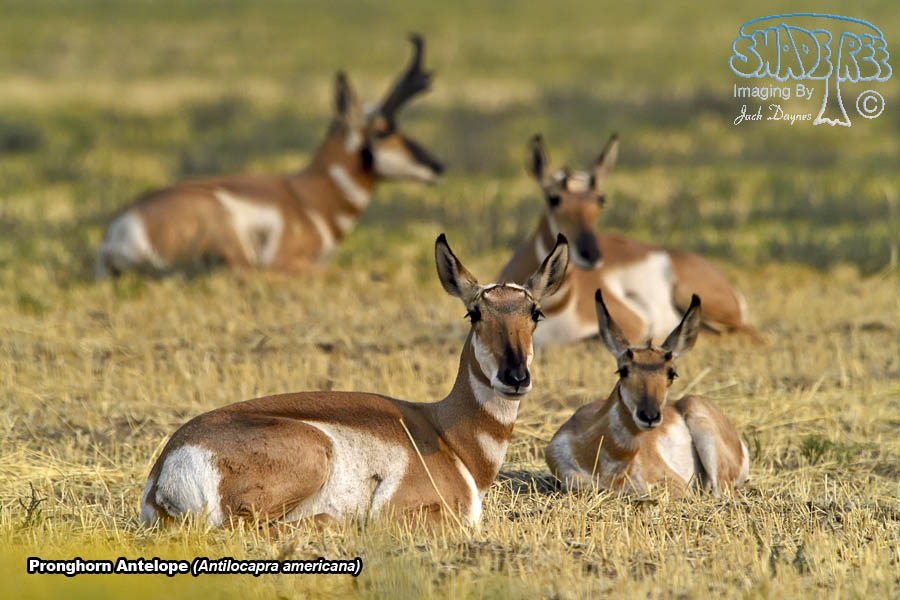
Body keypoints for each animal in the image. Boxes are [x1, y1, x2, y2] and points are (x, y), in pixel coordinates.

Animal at [140, 234, 569, 528]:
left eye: (535, 313)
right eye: (474, 313)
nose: (515, 377)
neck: (445, 434)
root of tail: (165, 466)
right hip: (313, 453)